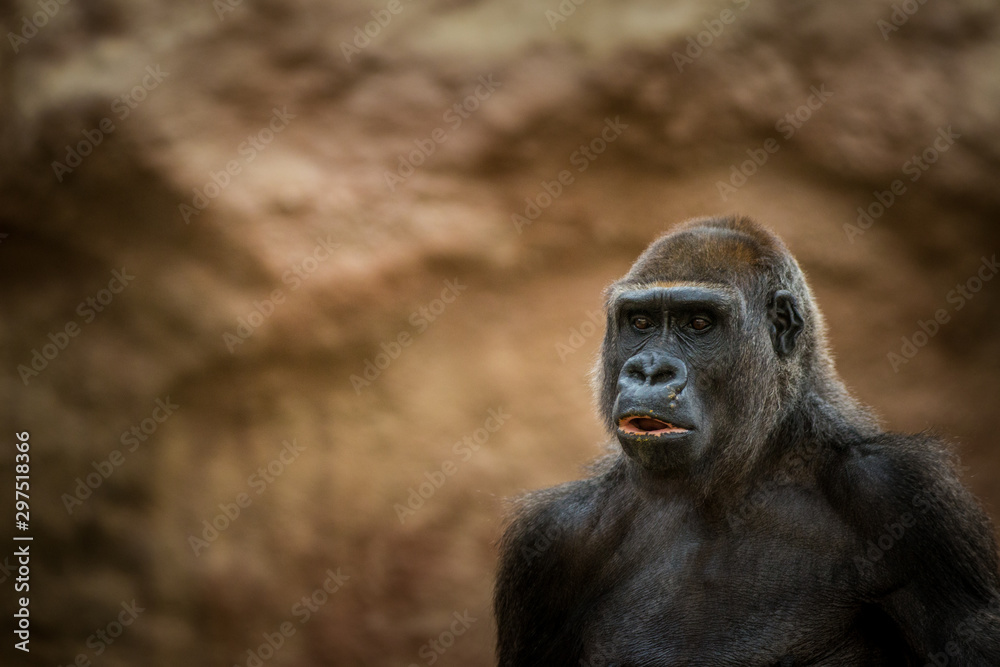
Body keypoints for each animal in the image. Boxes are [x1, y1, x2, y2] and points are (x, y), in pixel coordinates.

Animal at [494, 215, 1000, 666]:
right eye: (639, 322)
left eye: (699, 323)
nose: (650, 370)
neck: (737, 478)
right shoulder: (554, 538)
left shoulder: (901, 491)